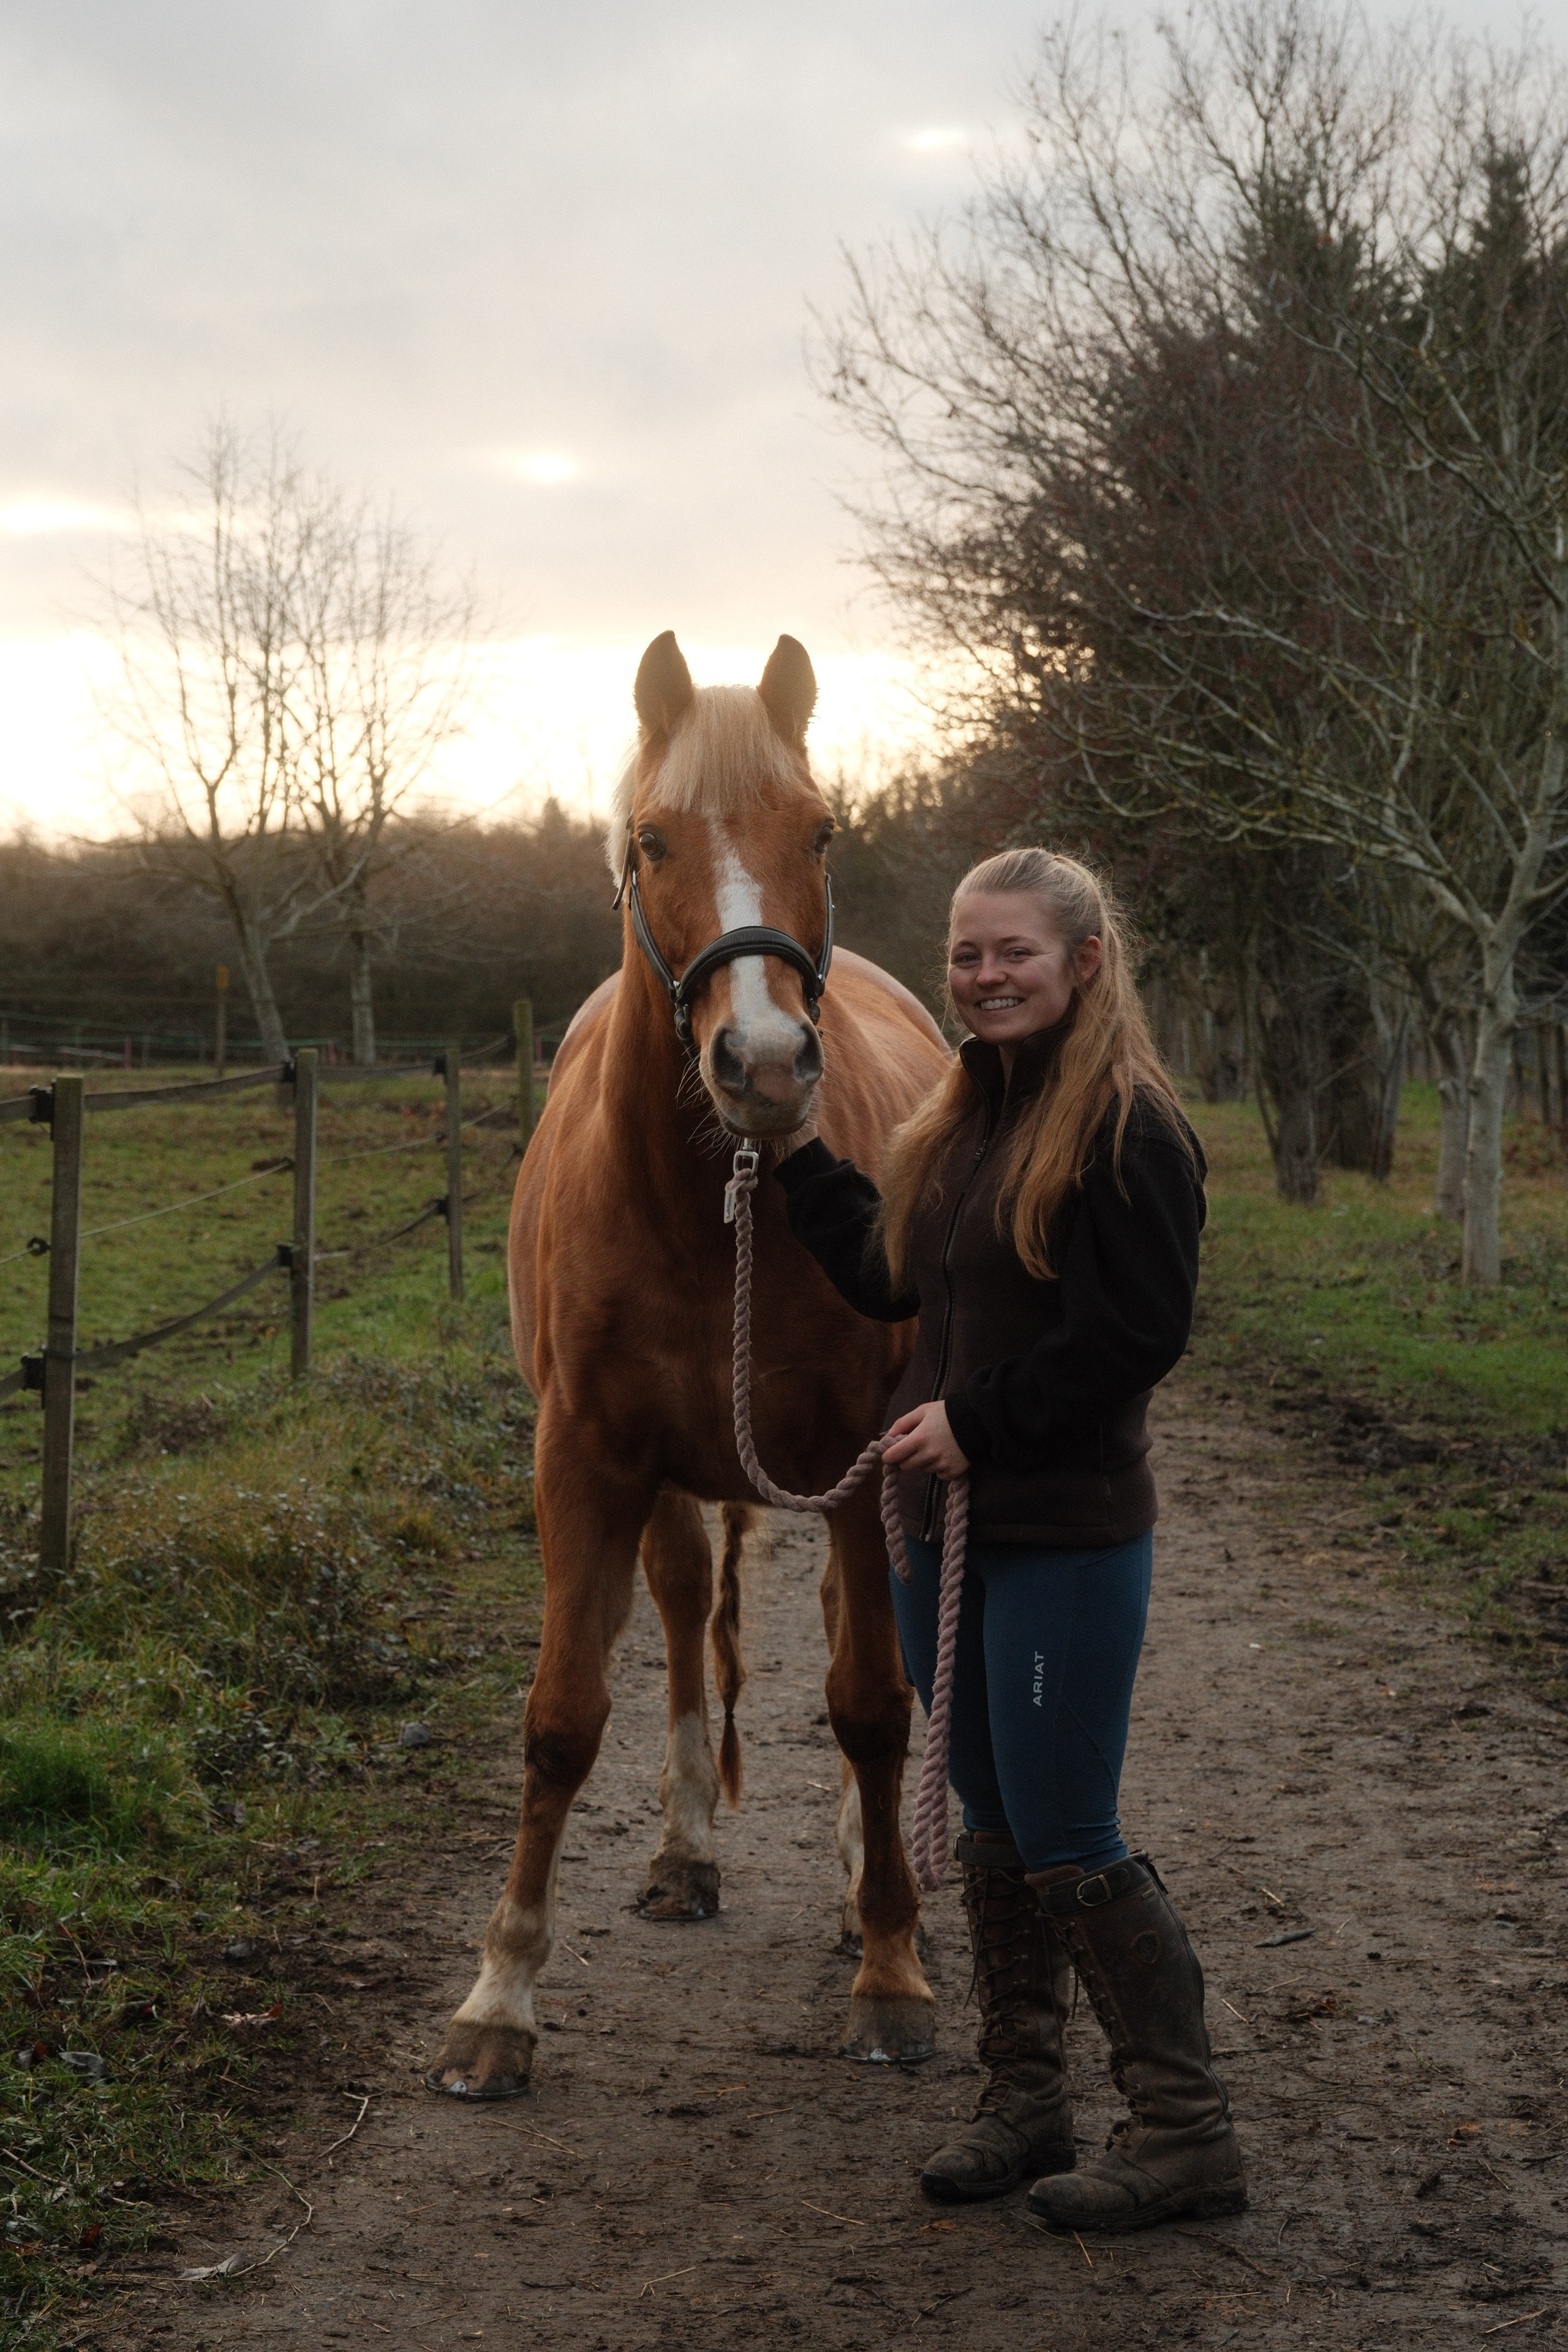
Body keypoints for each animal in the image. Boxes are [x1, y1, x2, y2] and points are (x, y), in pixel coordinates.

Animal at [427, 630, 949, 2100]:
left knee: (860, 1655)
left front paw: (891, 1968)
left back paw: (859, 1890)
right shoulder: (586, 1462)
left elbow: (870, 1705)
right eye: (652, 841)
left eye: (820, 832)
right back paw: (683, 1854)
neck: (711, 1205)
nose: (765, 1062)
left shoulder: (853, 1466)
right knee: (674, 1619)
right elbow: (561, 1716)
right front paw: (499, 1997)